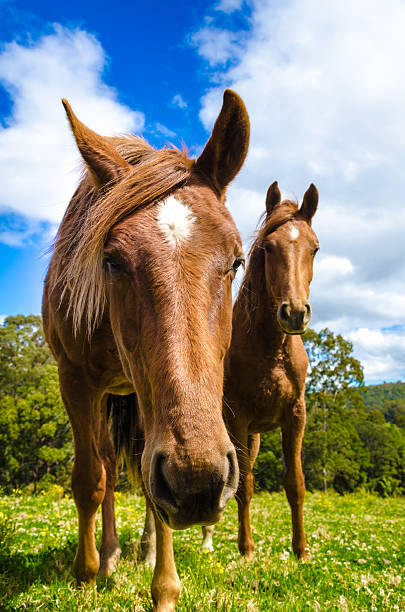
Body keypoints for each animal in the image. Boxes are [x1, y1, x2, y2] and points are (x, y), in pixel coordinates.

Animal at [41, 88, 249, 608]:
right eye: (112, 261)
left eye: (237, 261)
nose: (198, 480)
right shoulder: (75, 380)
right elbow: (90, 479)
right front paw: (86, 573)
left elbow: (155, 493)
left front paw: (166, 586)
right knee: (108, 467)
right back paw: (110, 556)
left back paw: (146, 550)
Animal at [200, 180, 318, 560]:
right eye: (268, 247)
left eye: (314, 248)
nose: (294, 313)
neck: (269, 351)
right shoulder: (238, 418)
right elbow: (245, 486)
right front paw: (247, 549)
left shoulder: (296, 416)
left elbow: (295, 483)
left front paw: (301, 550)